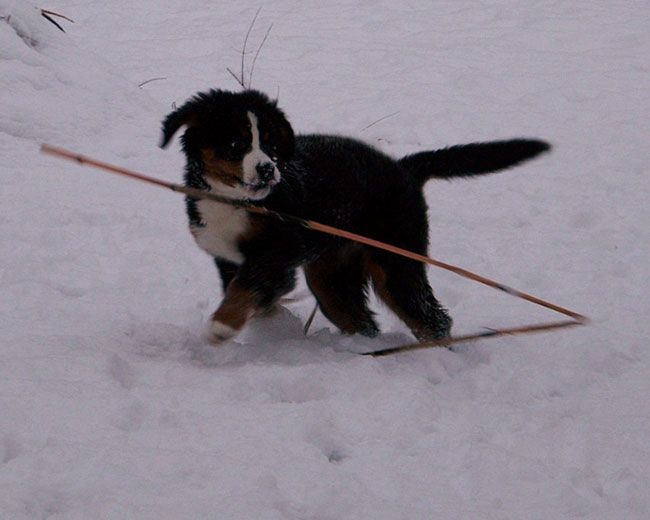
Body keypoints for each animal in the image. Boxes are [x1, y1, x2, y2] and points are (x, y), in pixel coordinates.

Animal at [159, 91, 548, 346]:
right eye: (236, 144)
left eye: (270, 144)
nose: (268, 170)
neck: (236, 202)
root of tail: (402, 169)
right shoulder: (229, 257)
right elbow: (247, 289)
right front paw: (270, 323)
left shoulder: (277, 251)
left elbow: (246, 287)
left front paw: (222, 326)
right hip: (332, 275)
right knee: (360, 319)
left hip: (395, 261)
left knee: (432, 318)